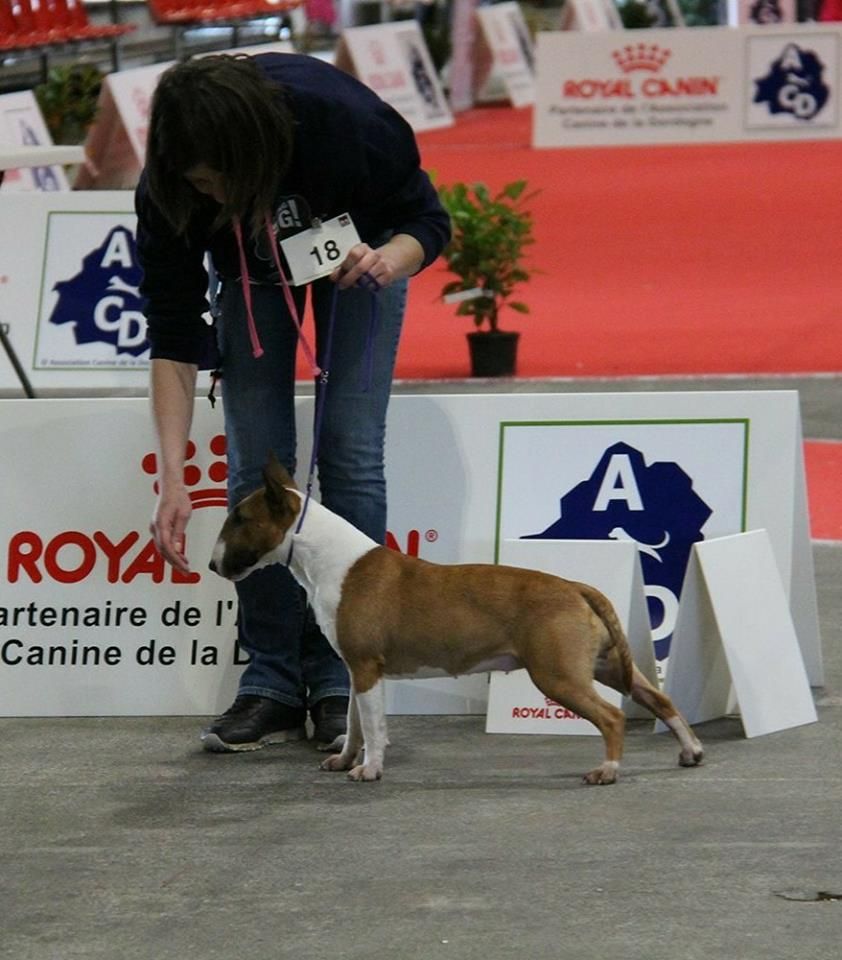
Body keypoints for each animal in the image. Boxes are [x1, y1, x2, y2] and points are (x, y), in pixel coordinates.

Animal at [212, 460, 704, 788]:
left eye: (240, 519)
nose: (214, 564)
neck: (328, 559)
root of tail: (576, 587)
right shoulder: (356, 670)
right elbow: (354, 723)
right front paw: (346, 759)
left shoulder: (367, 667)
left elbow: (373, 726)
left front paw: (369, 768)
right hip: (603, 665)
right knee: (658, 698)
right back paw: (690, 750)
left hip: (558, 675)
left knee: (612, 716)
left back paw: (608, 770)